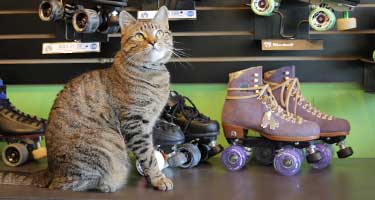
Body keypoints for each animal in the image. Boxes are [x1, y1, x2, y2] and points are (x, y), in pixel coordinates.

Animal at [0, 6, 174, 192]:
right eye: (139, 36)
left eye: (159, 32)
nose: (153, 42)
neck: (152, 74)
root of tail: (51, 170)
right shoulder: (135, 124)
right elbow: (148, 156)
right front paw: (158, 179)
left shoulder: (147, 125)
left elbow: (149, 153)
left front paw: (151, 177)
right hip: (105, 146)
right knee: (63, 185)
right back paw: (108, 184)